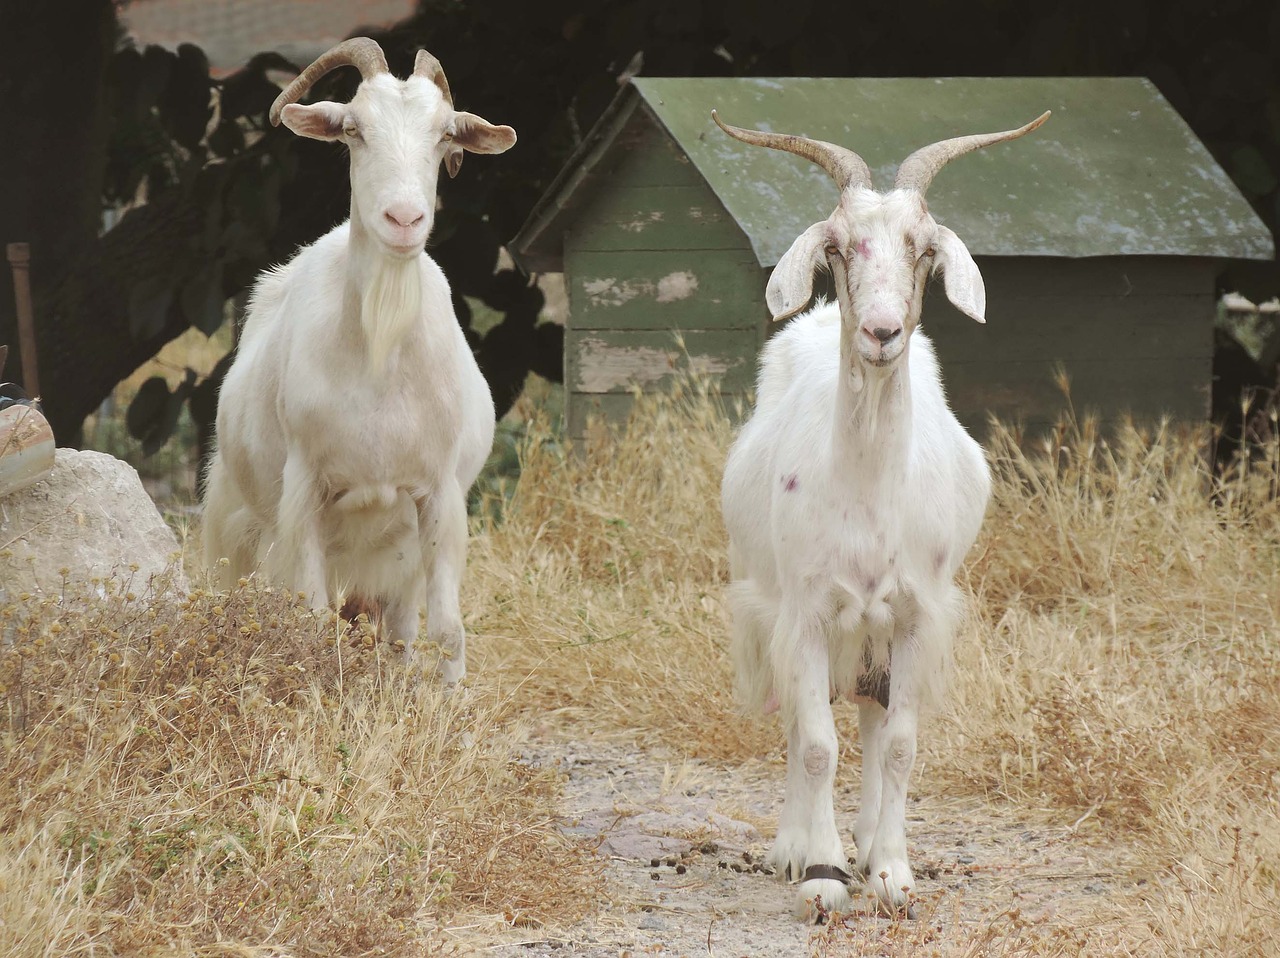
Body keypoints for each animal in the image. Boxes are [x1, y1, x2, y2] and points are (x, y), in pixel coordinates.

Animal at [204, 39, 514, 681]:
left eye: (445, 135)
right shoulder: (305, 497)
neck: (378, 360)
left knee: (397, 626)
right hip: (242, 522)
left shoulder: (438, 496)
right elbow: (312, 624)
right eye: (353, 129)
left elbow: (445, 630)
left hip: (396, 551)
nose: (404, 219)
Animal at [716, 108, 1044, 917]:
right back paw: (795, 846)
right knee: (799, 720)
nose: (882, 332)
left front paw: (892, 872)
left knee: (870, 712)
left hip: (875, 630)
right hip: (769, 600)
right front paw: (821, 874)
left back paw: (865, 842)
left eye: (923, 250)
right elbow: (813, 743)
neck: (865, 489)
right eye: (836, 246)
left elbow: (897, 743)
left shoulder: (917, 612)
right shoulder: (804, 611)